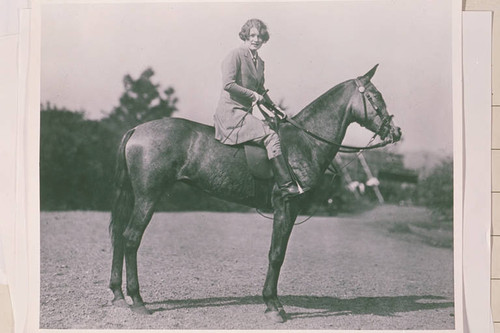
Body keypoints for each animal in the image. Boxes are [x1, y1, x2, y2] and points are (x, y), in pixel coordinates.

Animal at [108, 65, 402, 322]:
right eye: (376, 96)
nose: (396, 132)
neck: (305, 141)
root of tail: (137, 129)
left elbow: (276, 253)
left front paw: (273, 302)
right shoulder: (286, 206)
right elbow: (276, 254)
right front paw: (273, 305)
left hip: (135, 196)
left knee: (120, 238)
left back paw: (118, 296)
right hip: (147, 197)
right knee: (131, 238)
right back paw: (138, 300)